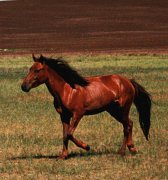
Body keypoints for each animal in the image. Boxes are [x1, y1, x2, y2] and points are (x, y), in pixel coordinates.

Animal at [21, 54, 151, 159]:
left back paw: (124, 151)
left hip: (123, 109)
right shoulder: (64, 116)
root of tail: (128, 81)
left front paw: (87, 146)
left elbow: (69, 134)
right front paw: (63, 156)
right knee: (129, 124)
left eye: (37, 70)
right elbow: (65, 135)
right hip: (114, 111)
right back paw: (129, 149)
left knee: (127, 126)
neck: (67, 90)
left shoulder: (78, 114)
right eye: (30, 69)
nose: (24, 86)